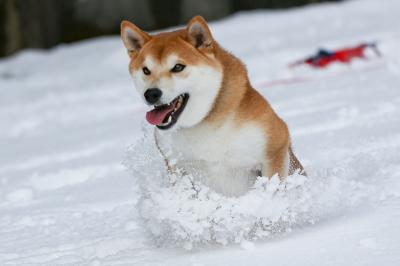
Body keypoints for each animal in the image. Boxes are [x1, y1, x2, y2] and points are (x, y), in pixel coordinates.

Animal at [120, 15, 304, 196]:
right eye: (146, 70)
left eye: (178, 67)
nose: (151, 94)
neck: (205, 119)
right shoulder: (176, 166)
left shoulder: (275, 147)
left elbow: (271, 189)